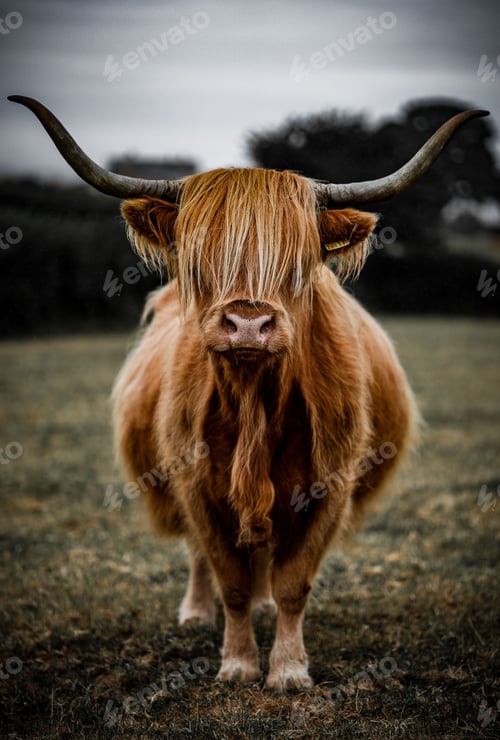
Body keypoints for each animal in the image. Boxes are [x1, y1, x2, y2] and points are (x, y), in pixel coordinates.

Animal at [9, 96, 488, 690]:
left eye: (298, 261)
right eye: (199, 258)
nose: (247, 324)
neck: (256, 402)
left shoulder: (328, 487)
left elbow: (293, 583)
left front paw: (288, 670)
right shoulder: (197, 484)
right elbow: (229, 579)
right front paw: (237, 664)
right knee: (203, 555)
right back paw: (195, 612)